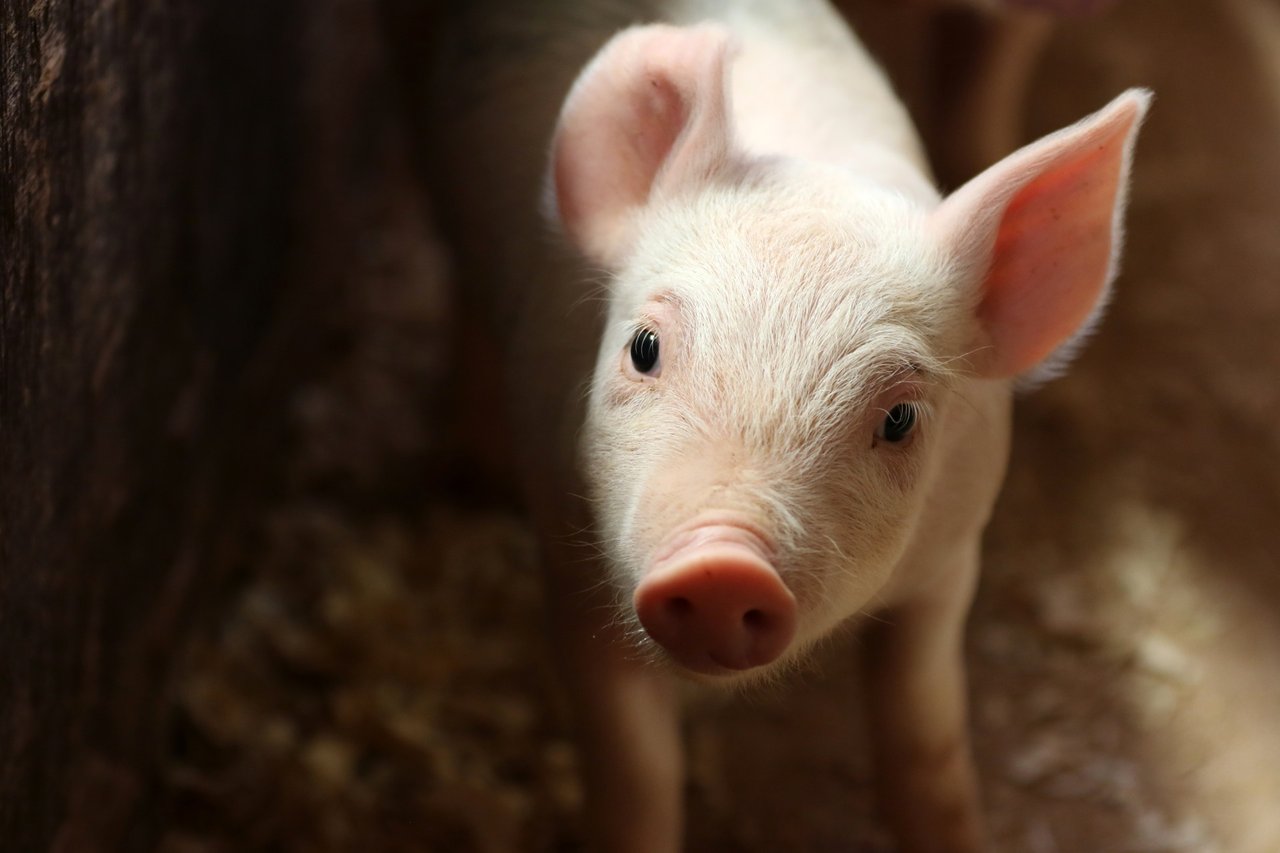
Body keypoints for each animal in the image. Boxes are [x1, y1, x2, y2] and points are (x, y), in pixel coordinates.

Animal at [428, 0, 1148, 850]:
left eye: (900, 417)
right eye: (644, 348)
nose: (722, 565)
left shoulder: (952, 556)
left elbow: (927, 738)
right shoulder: (569, 557)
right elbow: (635, 775)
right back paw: (474, 470)